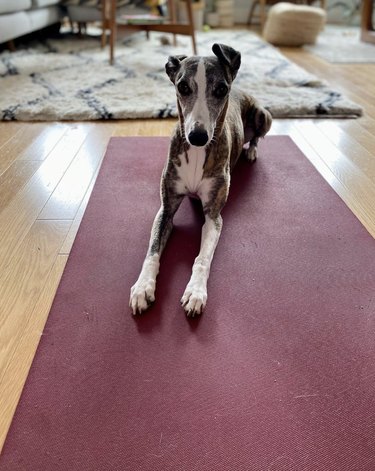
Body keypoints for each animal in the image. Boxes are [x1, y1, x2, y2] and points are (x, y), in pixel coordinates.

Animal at [131, 43, 272, 318]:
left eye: (221, 89)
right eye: (183, 87)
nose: (197, 136)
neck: (196, 153)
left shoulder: (213, 217)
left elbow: (202, 258)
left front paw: (195, 292)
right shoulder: (166, 209)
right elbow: (152, 250)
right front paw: (143, 287)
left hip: (264, 116)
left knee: (257, 137)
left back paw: (251, 151)